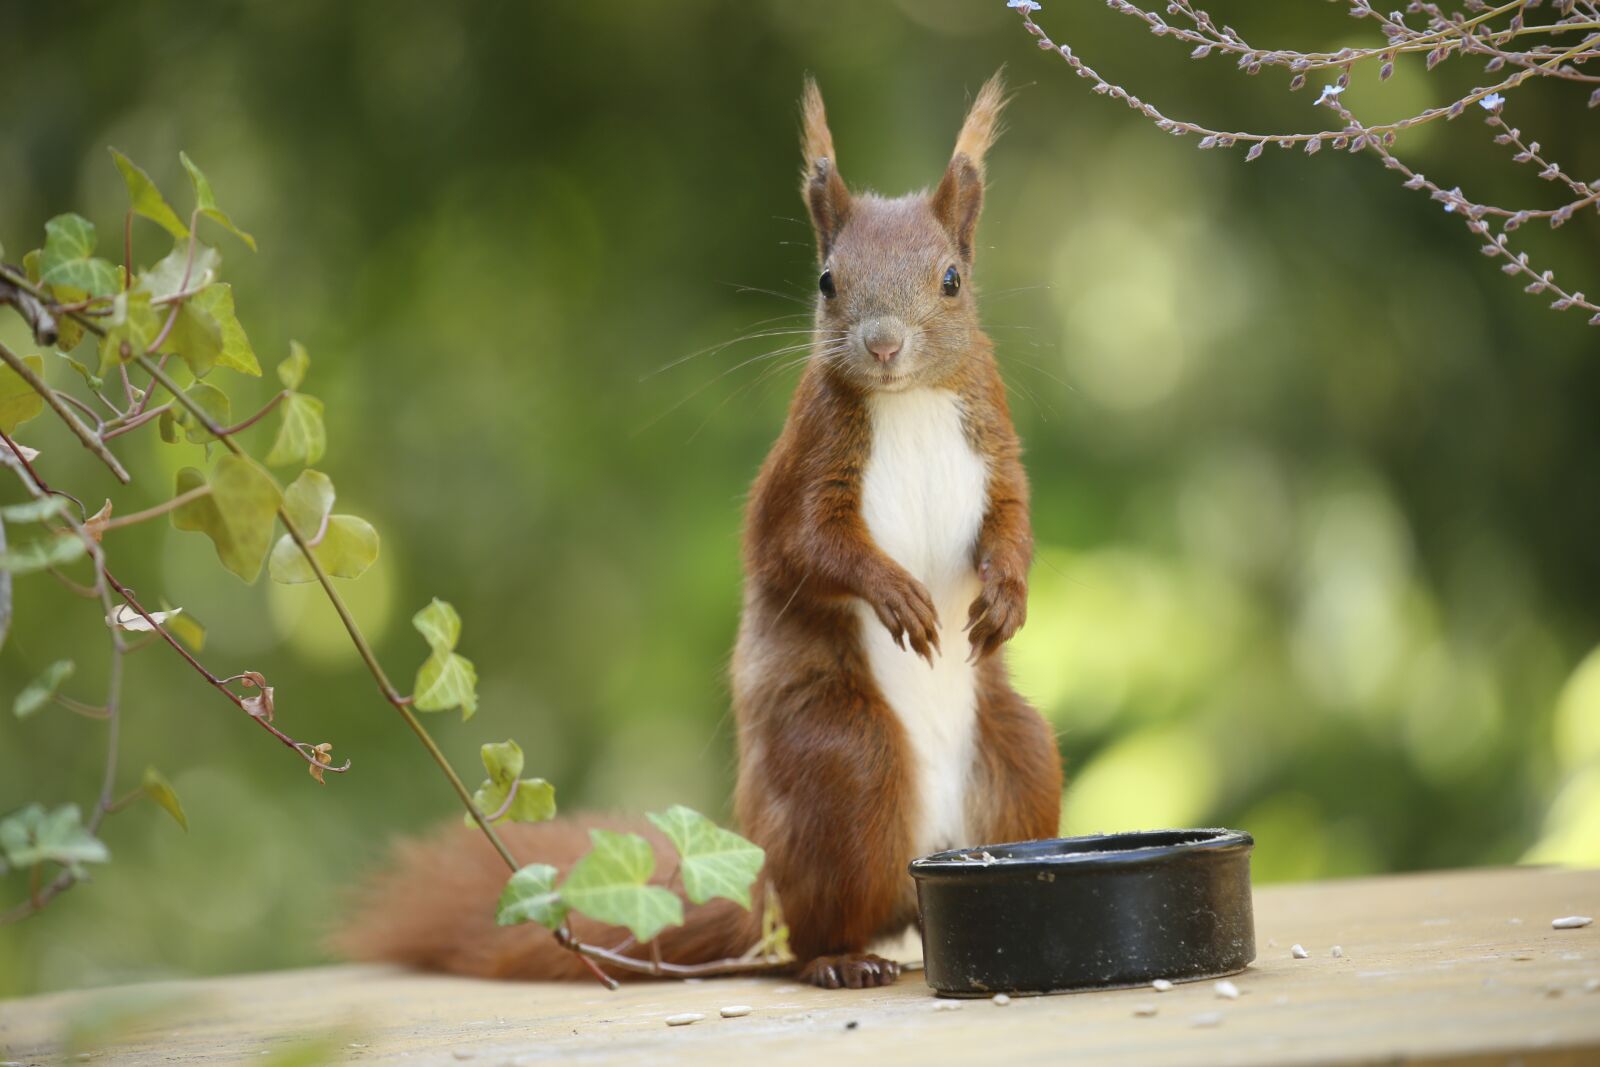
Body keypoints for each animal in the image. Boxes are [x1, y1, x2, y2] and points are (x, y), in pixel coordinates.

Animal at [336, 71, 1062, 990]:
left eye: (953, 279)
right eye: (827, 280)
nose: (884, 344)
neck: (911, 403)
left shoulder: (995, 446)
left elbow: (1013, 522)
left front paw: (1006, 596)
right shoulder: (805, 470)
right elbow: (806, 548)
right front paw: (895, 592)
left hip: (1018, 757)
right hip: (844, 764)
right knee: (816, 926)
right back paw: (840, 959)